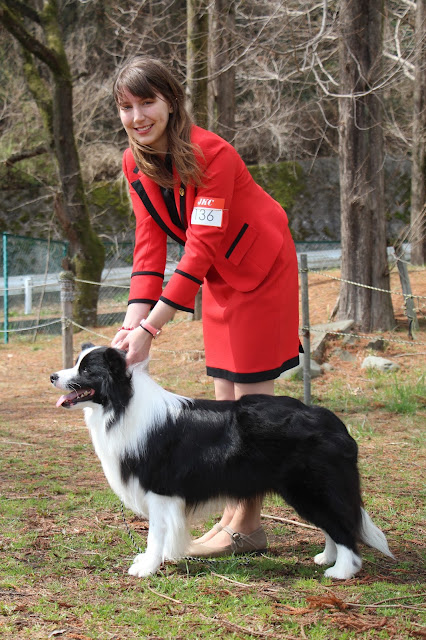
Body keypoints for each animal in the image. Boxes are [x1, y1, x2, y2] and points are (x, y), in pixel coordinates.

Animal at [50, 344, 393, 579]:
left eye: (86, 370)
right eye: (76, 364)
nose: (53, 376)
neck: (122, 403)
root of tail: (334, 423)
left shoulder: (159, 490)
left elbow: (155, 533)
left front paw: (147, 566)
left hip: (311, 487)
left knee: (343, 527)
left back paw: (342, 570)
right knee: (332, 525)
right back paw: (327, 558)